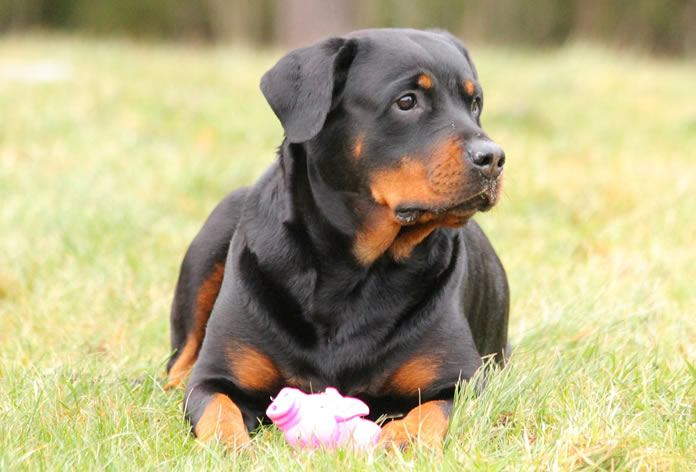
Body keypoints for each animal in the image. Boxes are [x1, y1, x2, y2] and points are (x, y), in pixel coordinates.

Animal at [166, 27, 508, 452]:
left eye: (474, 103)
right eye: (407, 101)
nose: (493, 158)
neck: (352, 269)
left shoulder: (461, 382)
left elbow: (429, 412)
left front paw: (401, 438)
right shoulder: (214, 378)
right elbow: (218, 409)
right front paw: (230, 446)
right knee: (179, 361)